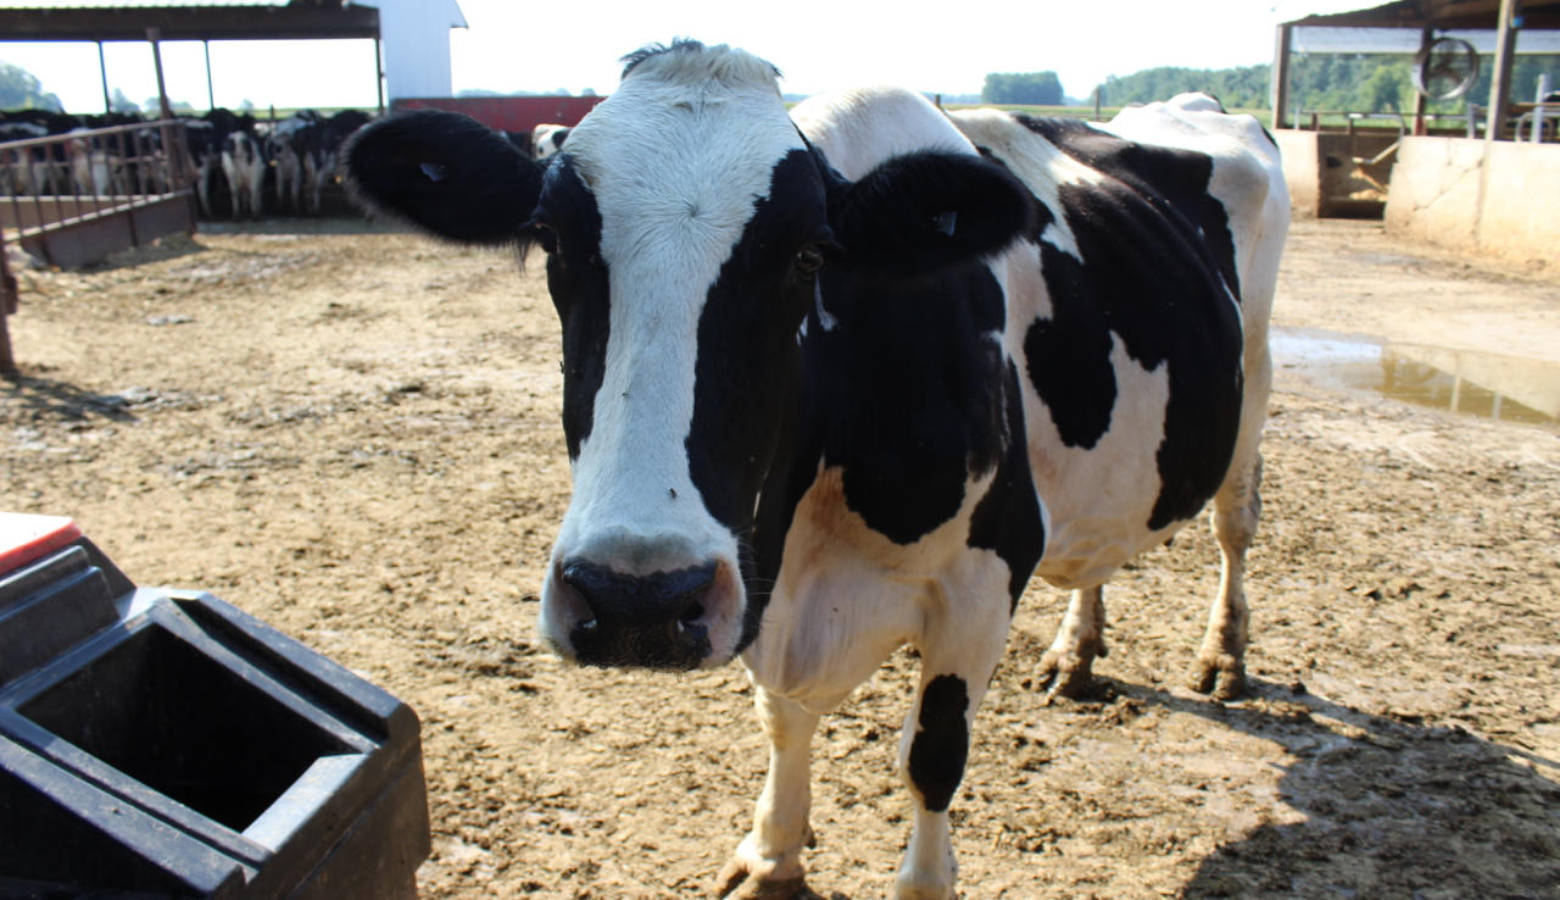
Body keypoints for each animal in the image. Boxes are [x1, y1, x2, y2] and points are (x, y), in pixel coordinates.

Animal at [347, 40, 1285, 898]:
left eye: (808, 253)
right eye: (549, 241)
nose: (635, 599)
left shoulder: (986, 574)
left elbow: (932, 757)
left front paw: (921, 881)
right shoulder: (762, 589)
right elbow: (782, 718)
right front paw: (772, 855)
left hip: (1256, 374)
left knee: (1237, 524)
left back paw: (1223, 653)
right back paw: (1075, 650)